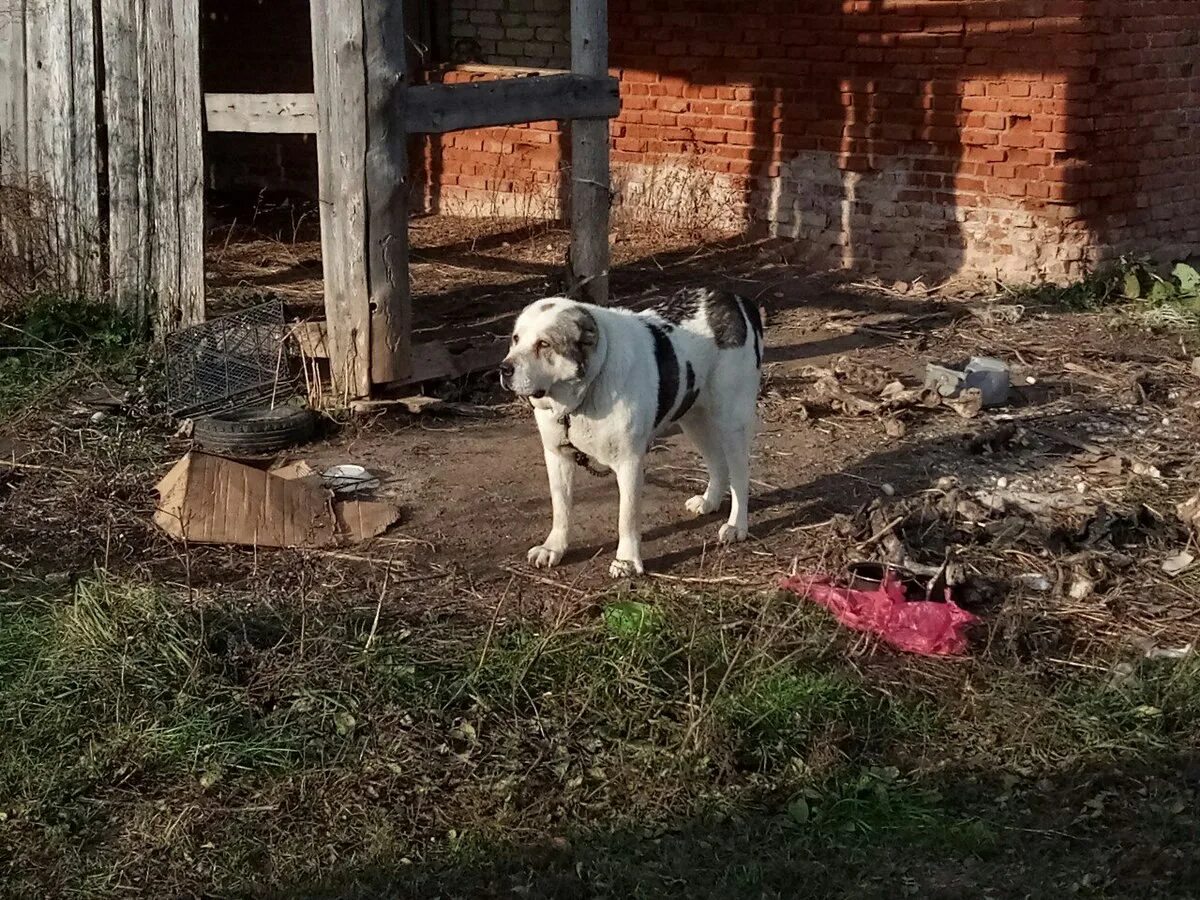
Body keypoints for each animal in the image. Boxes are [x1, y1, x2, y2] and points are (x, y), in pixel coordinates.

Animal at [499, 292, 763, 580]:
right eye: (516, 339)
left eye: (544, 344)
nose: (504, 369)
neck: (587, 389)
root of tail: (735, 299)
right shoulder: (557, 457)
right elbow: (561, 507)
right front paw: (553, 548)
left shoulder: (629, 463)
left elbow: (626, 517)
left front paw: (626, 561)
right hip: (693, 419)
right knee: (718, 464)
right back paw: (709, 501)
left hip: (731, 422)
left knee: (739, 475)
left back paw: (736, 525)